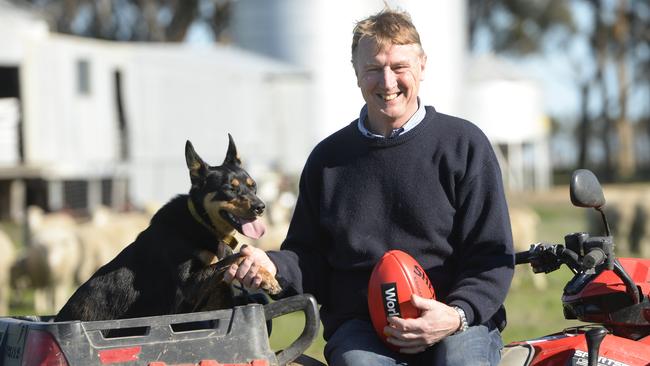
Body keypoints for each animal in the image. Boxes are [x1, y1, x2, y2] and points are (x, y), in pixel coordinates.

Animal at [55, 134, 278, 320]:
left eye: (253, 186)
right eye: (230, 189)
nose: (260, 207)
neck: (203, 224)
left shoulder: (212, 296)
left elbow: (232, 260)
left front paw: (266, 276)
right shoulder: (188, 287)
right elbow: (236, 257)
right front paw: (267, 278)